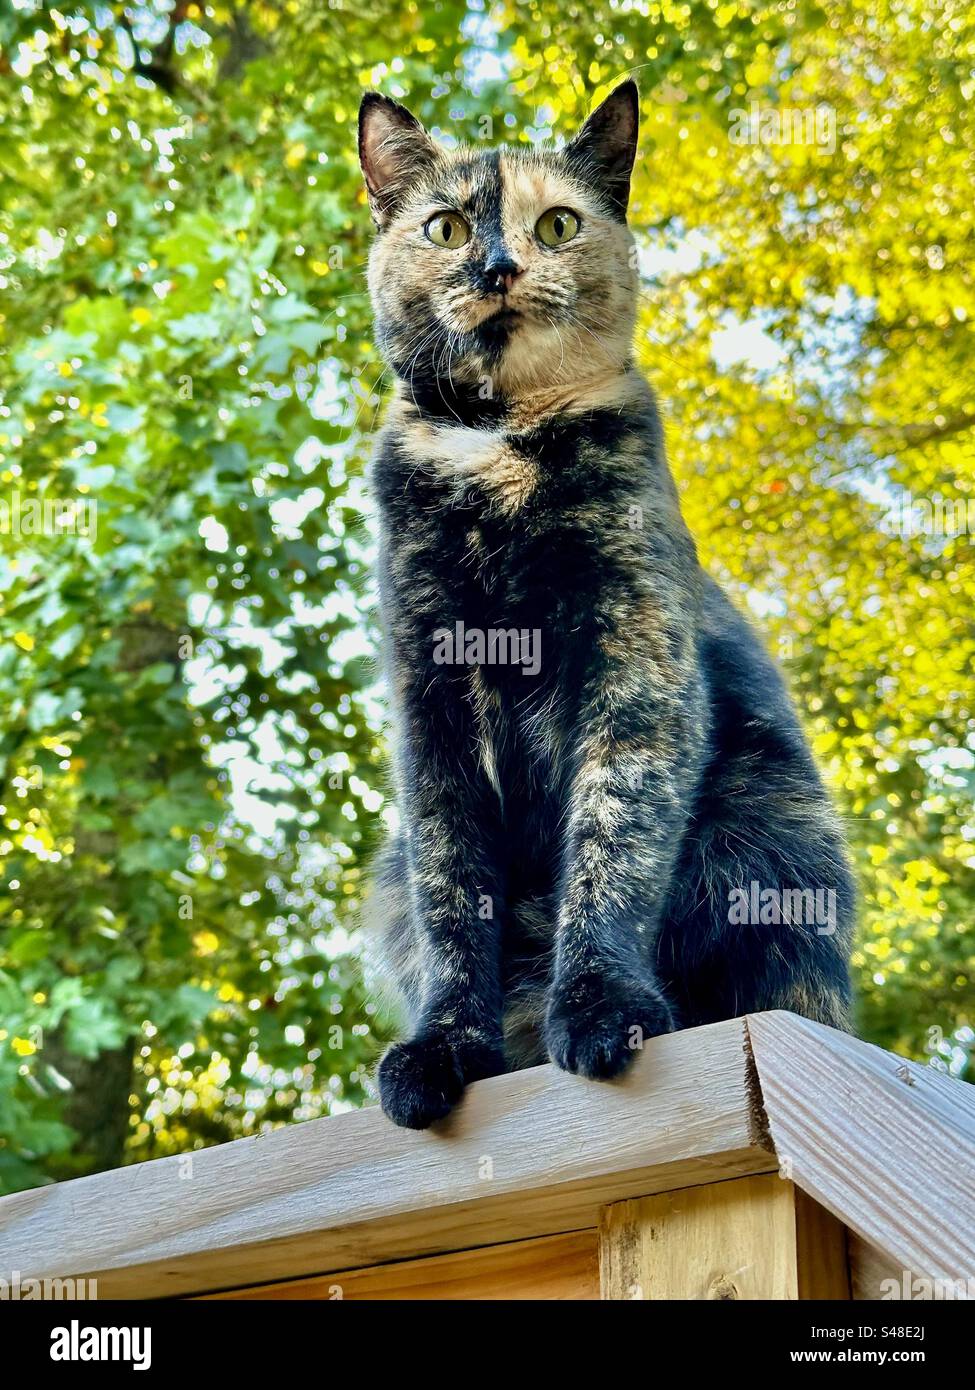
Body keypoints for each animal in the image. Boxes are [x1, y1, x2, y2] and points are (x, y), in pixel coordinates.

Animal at [358, 78, 851, 1128]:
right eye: (445, 225)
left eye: (556, 223)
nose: (498, 266)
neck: (498, 448)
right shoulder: (430, 703)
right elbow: (452, 891)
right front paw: (443, 1049)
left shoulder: (636, 664)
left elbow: (612, 844)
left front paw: (598, 1008)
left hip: (761, 824)